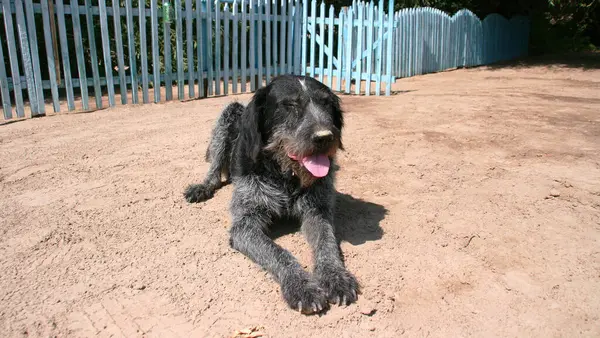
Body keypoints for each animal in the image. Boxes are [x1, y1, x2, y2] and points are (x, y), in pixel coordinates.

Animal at [183, 74, 358, 314]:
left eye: (326, 104)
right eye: (290, 105)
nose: (325, 137)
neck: (284, 175)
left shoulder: (317, 212)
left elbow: (327, 243)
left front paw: (336, 277)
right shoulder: (244, 225)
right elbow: (277, 252)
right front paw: (301, 285)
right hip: (227, 117)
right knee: (214, 169)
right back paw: (202, 187)